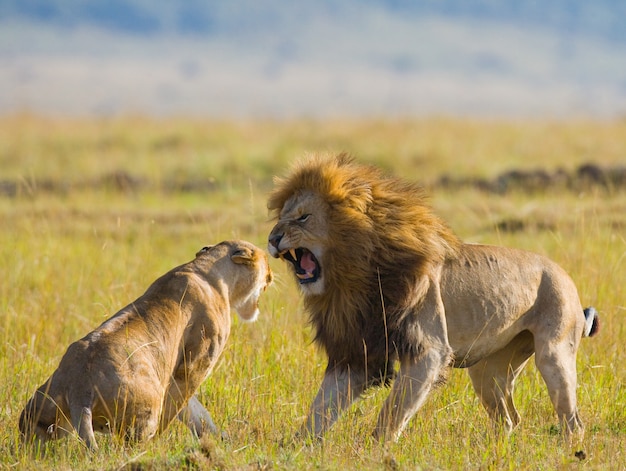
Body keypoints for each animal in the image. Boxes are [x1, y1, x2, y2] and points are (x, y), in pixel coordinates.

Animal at [18, 242, 270, 452]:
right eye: (265, 261)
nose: (271, 275)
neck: (205, 269)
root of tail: (80, 390)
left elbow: (196, 412)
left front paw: (220, 439)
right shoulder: (192, 367)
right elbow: (180, 406)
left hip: (37, 410)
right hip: (146, 409)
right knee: (132, 444)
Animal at [266, 154, 596, 442]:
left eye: (303, 217)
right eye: (280, 218)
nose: (272, 239)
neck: (355, 276)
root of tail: (566, 277)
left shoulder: (428, 350)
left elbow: (392, 412)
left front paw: (375, 450)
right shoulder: (356, 350)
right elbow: (321, 407)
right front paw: (298, 447)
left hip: (553, 353)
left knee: (572, 420)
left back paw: (568, 448)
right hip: (487, 370)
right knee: (509, 419)